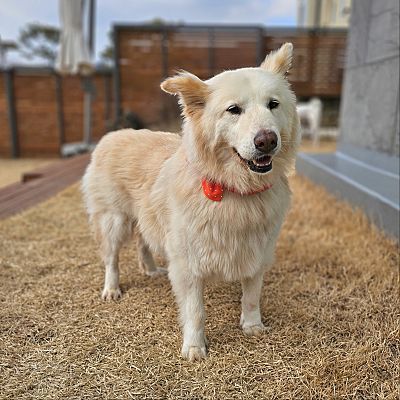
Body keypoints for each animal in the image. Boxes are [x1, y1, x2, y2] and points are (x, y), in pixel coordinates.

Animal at [82, 42, 300, 360]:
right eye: (233, 110)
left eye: (273, 104)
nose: (267, 141)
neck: (234, 189)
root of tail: (113, 134)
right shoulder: (188, 265)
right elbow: (195, 311)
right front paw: (195, 347)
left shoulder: (256, 253)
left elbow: (251, 296)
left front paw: (252, 326)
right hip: (114, 221)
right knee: (111, 259)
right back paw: (112, 289)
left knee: (143, 242)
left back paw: (149, 269)